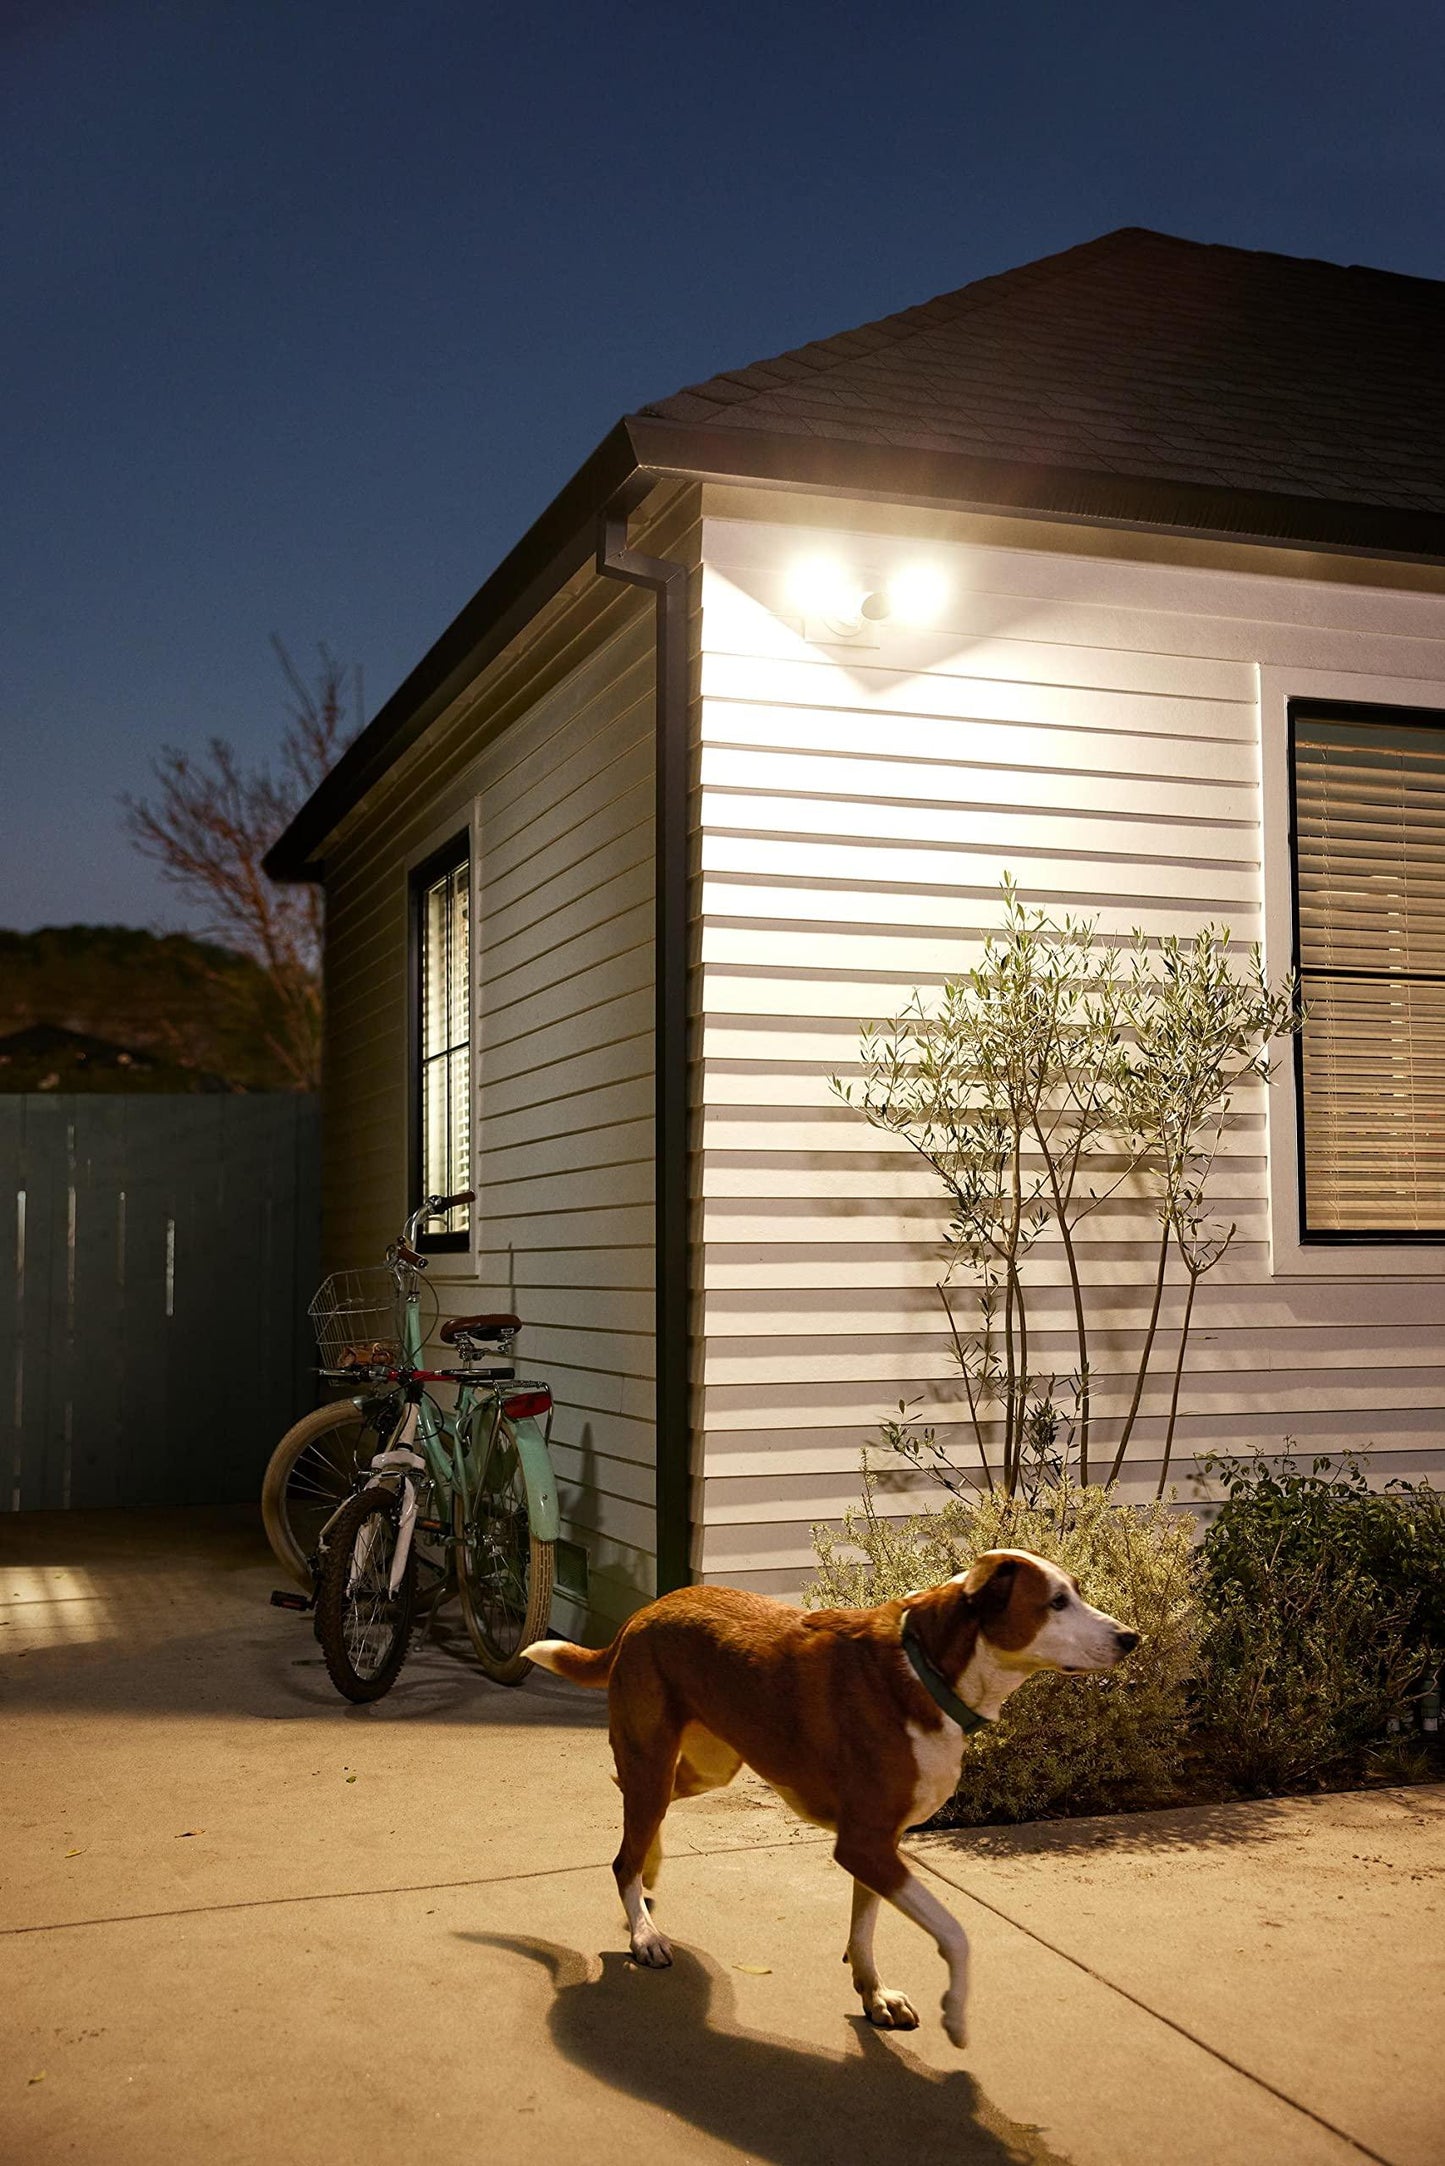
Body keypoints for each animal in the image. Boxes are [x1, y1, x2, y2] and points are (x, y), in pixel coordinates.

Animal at [522, 1550, 1143, 2036]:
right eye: (1055, 1603)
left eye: (1076, 1593)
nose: (1131, 1637)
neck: (927, 1671)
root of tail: (643, 1613)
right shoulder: (865, 1844)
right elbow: (955, 1933)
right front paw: (957, 2014)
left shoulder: (879, 1845)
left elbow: (864, 1931)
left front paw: (874, 1994)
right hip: (655, 1761)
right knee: (623, 1850)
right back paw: (644, 1932)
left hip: (709, 1767)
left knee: (637, 1810)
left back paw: (649, 1875)